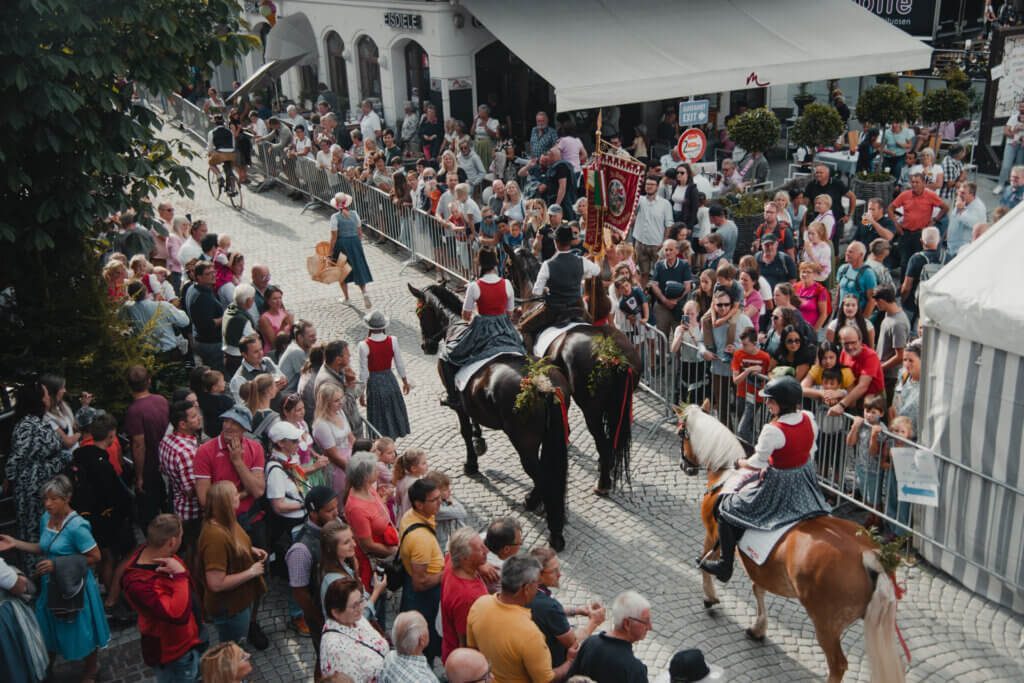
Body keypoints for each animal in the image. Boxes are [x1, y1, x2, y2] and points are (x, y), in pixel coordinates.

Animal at [405, 282, 577, 548]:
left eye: (420, 312)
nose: (426, 346)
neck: (456, 325)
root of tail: (542, 384)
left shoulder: (459, 405)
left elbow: (465, 431)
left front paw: (471, 463)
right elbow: (474, 423)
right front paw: (480, 440)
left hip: (524, 442)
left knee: (541, 475)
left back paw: (543, 516)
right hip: (550, 436)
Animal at [503, 245, 638, 497]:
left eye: (507, 266)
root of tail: (613, 355)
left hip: (592, 408)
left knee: (603, 442)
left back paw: (602, 484)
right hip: (616, 404)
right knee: (611, 441)